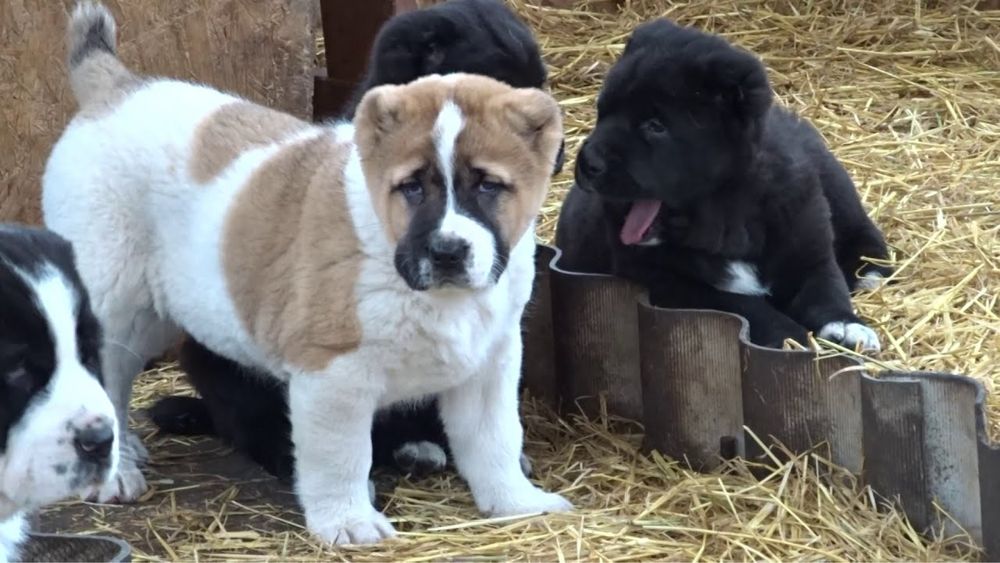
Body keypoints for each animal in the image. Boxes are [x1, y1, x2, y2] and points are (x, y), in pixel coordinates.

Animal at [556, 19, 891, 350]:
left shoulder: (808, 250)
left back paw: (868, 271)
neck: (729, 211)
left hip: (834, 181)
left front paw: (847, 326)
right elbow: (744, 306)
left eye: (656, 126)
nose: (587, 162)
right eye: (602, 113)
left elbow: (825, 290)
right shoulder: (666, 280)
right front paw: (791, 338)